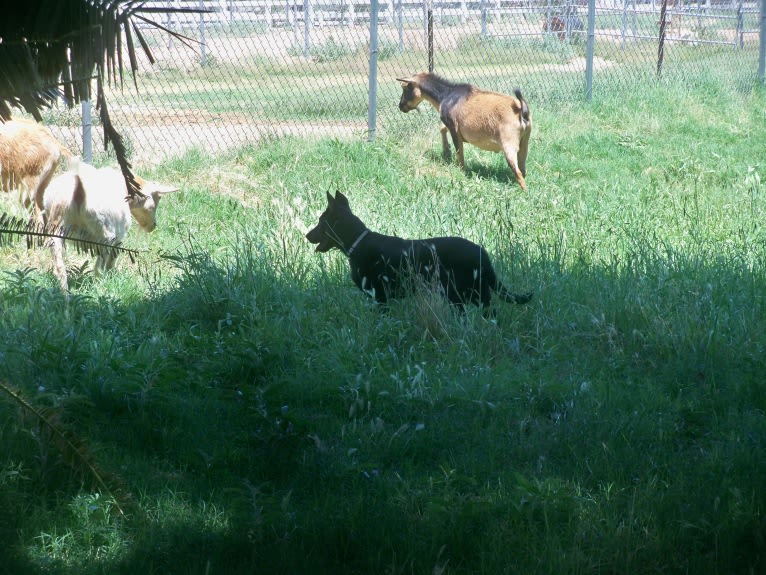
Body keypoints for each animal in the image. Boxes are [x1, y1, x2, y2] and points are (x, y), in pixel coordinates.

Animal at [43, 159, 178, 290]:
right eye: (154, 203)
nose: (153, 226)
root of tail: (75, 193)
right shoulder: (119, 235)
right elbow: (112, 258)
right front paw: (112, 275)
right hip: (105, 233)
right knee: (98, 267)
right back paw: (100, 285)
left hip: (56, 230)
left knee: (60, 269)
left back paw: (65, 294)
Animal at [304, 192, 532, 310]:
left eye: (321, 222)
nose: (306, 235)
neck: (358, 242)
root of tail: (483, 253)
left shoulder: (380, 297)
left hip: (464, 293)